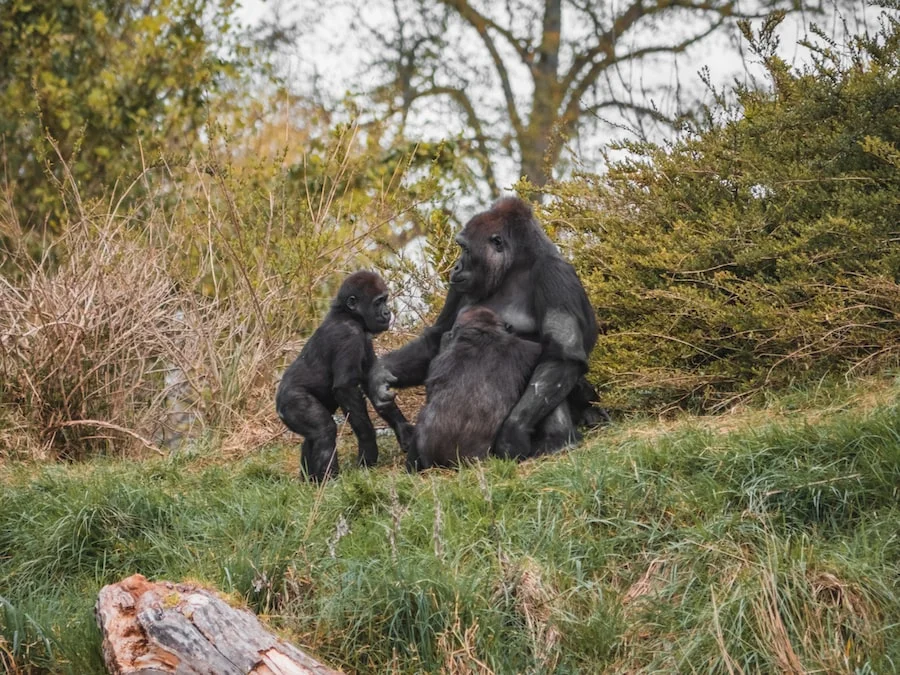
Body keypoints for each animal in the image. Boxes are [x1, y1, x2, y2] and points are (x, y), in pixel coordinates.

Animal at [276, 272, 414, 484]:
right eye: (378, 302)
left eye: (385, 299)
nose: (387, 313)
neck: (347, 314)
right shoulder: (348, 335)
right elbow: (346, 389)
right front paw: (368, 447)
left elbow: (372, 382)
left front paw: (403, 430)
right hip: (290, 402)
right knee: (323, 431)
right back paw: (329, 481)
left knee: (311, 438)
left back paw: (310, 482)